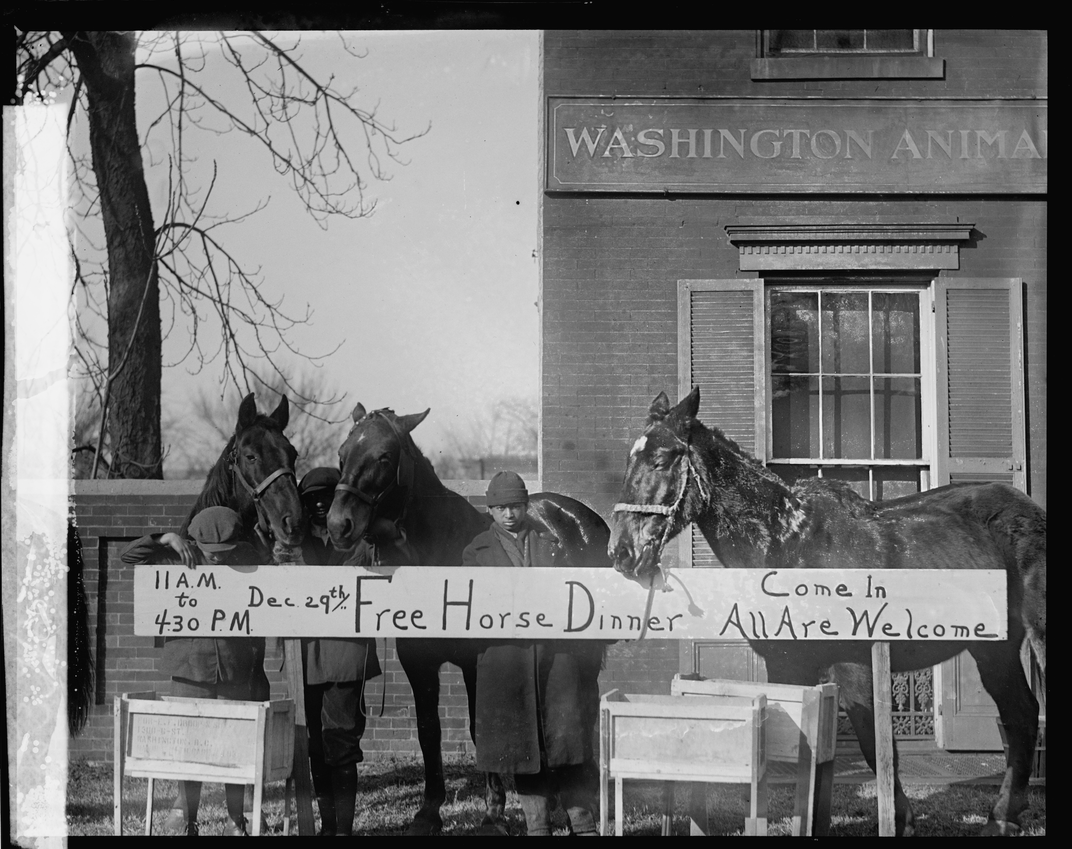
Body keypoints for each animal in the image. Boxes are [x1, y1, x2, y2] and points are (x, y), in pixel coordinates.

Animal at [325, 405, 613, 836]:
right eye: (343, 452)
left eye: (384, 456)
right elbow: (429, 730)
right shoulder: (418, 663)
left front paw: (493, 815)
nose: (338, 525)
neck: (440, 553)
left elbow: (484, 727)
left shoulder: (479, 662)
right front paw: (428, 812)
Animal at [613, 390, 1046, 836]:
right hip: (993, 649)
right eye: (630, 460)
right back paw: (1001, 818)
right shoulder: (788, 665)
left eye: (661, 460)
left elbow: (874, 746)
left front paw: (902, 821)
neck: (789, 545)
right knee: (1021, 714)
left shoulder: (855, 664)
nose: (623, 553)